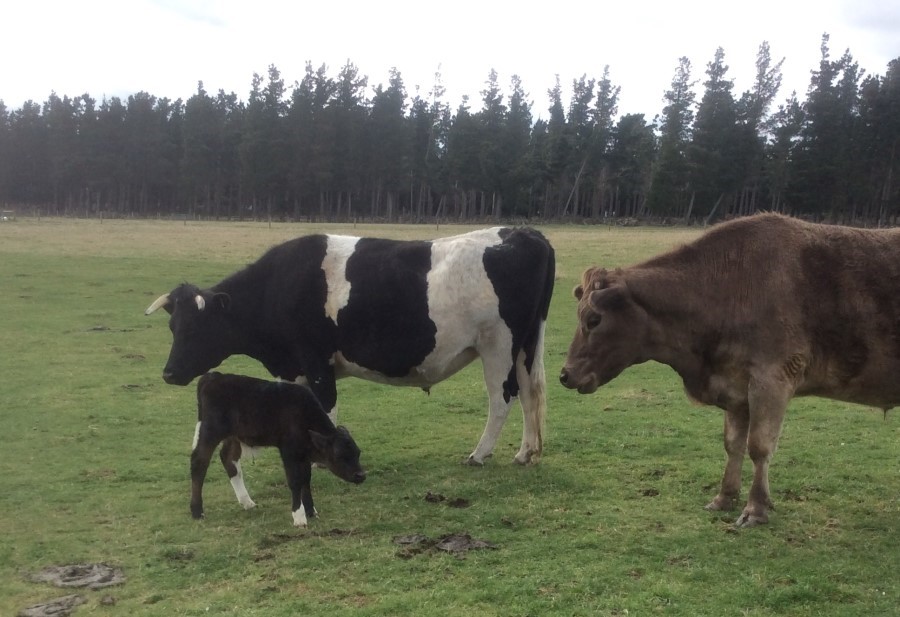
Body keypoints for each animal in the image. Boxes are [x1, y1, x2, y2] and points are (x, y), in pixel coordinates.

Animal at [146, 227, 555, 465]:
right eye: (172, 325)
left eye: (195, 328)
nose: (169, 373)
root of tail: (522, 232)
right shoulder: (296, 368)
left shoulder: (316, 360)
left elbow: (326, 410)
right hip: (525, 346)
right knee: (530, 395)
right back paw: (525, 452)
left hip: (498, 345)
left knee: (503, 398)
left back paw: (480, 454)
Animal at [190, 371, 366, 527]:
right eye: (340, 455)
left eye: (358, 453)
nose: (361, 475)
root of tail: (213, 376)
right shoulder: (289, 451)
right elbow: (295, 481)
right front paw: (299, 516)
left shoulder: (303, 453)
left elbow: (306, 480)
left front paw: (311, 511)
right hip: (211, 430)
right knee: (199, 462)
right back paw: (197, 511)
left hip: (234, 435)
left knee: (228, 458)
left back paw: (247, 502)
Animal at [559, 212, 900, 527]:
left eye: (593, 319)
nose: (565, 374)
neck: (728, 287)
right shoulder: (737, 387)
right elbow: (733, 445)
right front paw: (724, 497)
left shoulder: (772, 379)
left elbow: (759, 447)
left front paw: (756, 508)